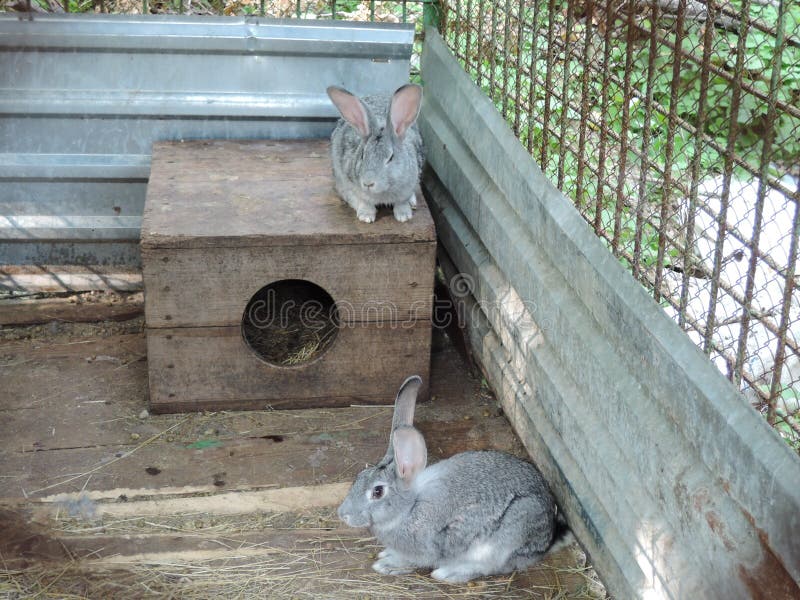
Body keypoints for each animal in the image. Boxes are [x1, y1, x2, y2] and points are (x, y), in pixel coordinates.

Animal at [326, 84, 424, 224]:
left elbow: (401, 202)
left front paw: (404, 216)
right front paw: (366, 216)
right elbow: (363, 201)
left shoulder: (408, 187)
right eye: (362, 155)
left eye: (391, 157)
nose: (368, 183)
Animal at [337, 375, 570, 584]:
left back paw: (448, 574)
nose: (343, 514)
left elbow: (413, 560)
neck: (409, 508)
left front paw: (387, 565)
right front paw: (387, 555)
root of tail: (546, 538)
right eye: (358, 478)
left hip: (506, 536)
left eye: (377, 492)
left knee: (488, 567)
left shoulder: (429, 547)